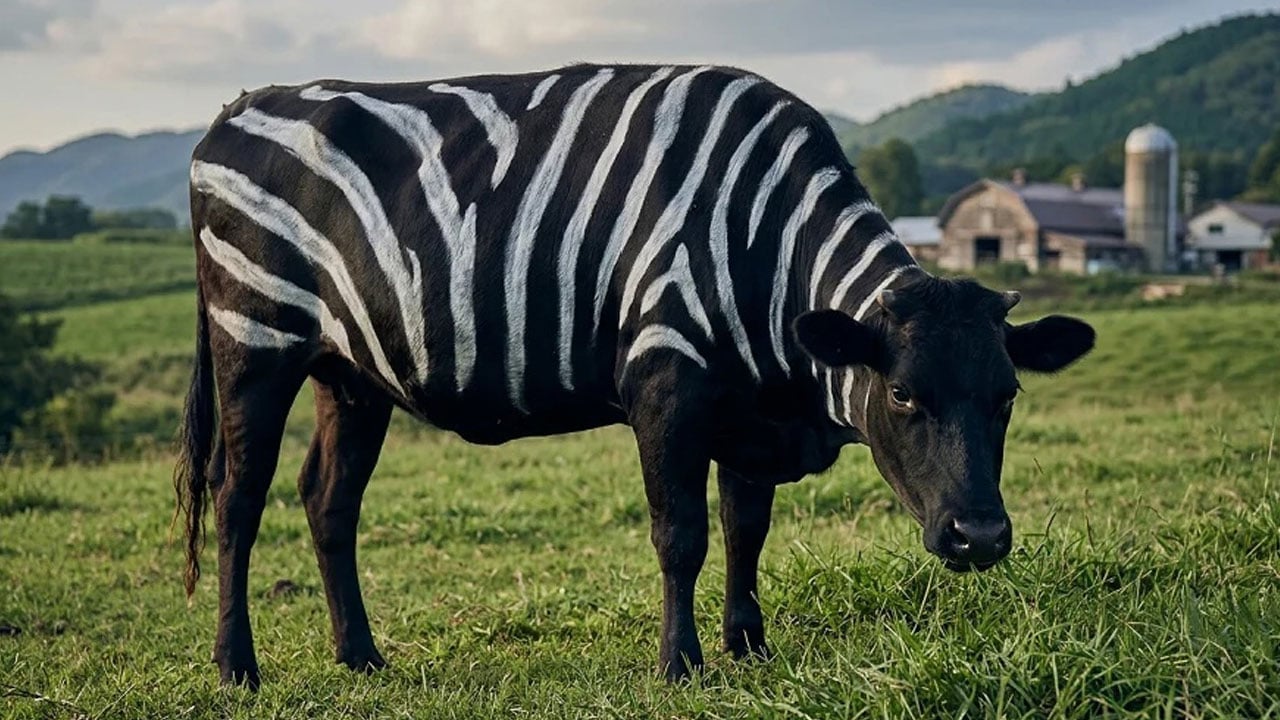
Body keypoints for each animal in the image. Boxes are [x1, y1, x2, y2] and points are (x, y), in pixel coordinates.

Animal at [173, 63, 1095, 687]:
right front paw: (681, 663)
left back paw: (360, 656)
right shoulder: (667, 381)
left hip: (352, 375)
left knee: (328, 501)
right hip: (256, 340)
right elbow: (681, 534)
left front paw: (748, 645)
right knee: (237, 498)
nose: (982, 538)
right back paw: (235, 666)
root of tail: (239, 106)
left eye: (1008, 398)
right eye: (902, 395)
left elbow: (746, 530)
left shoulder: (748, 411)